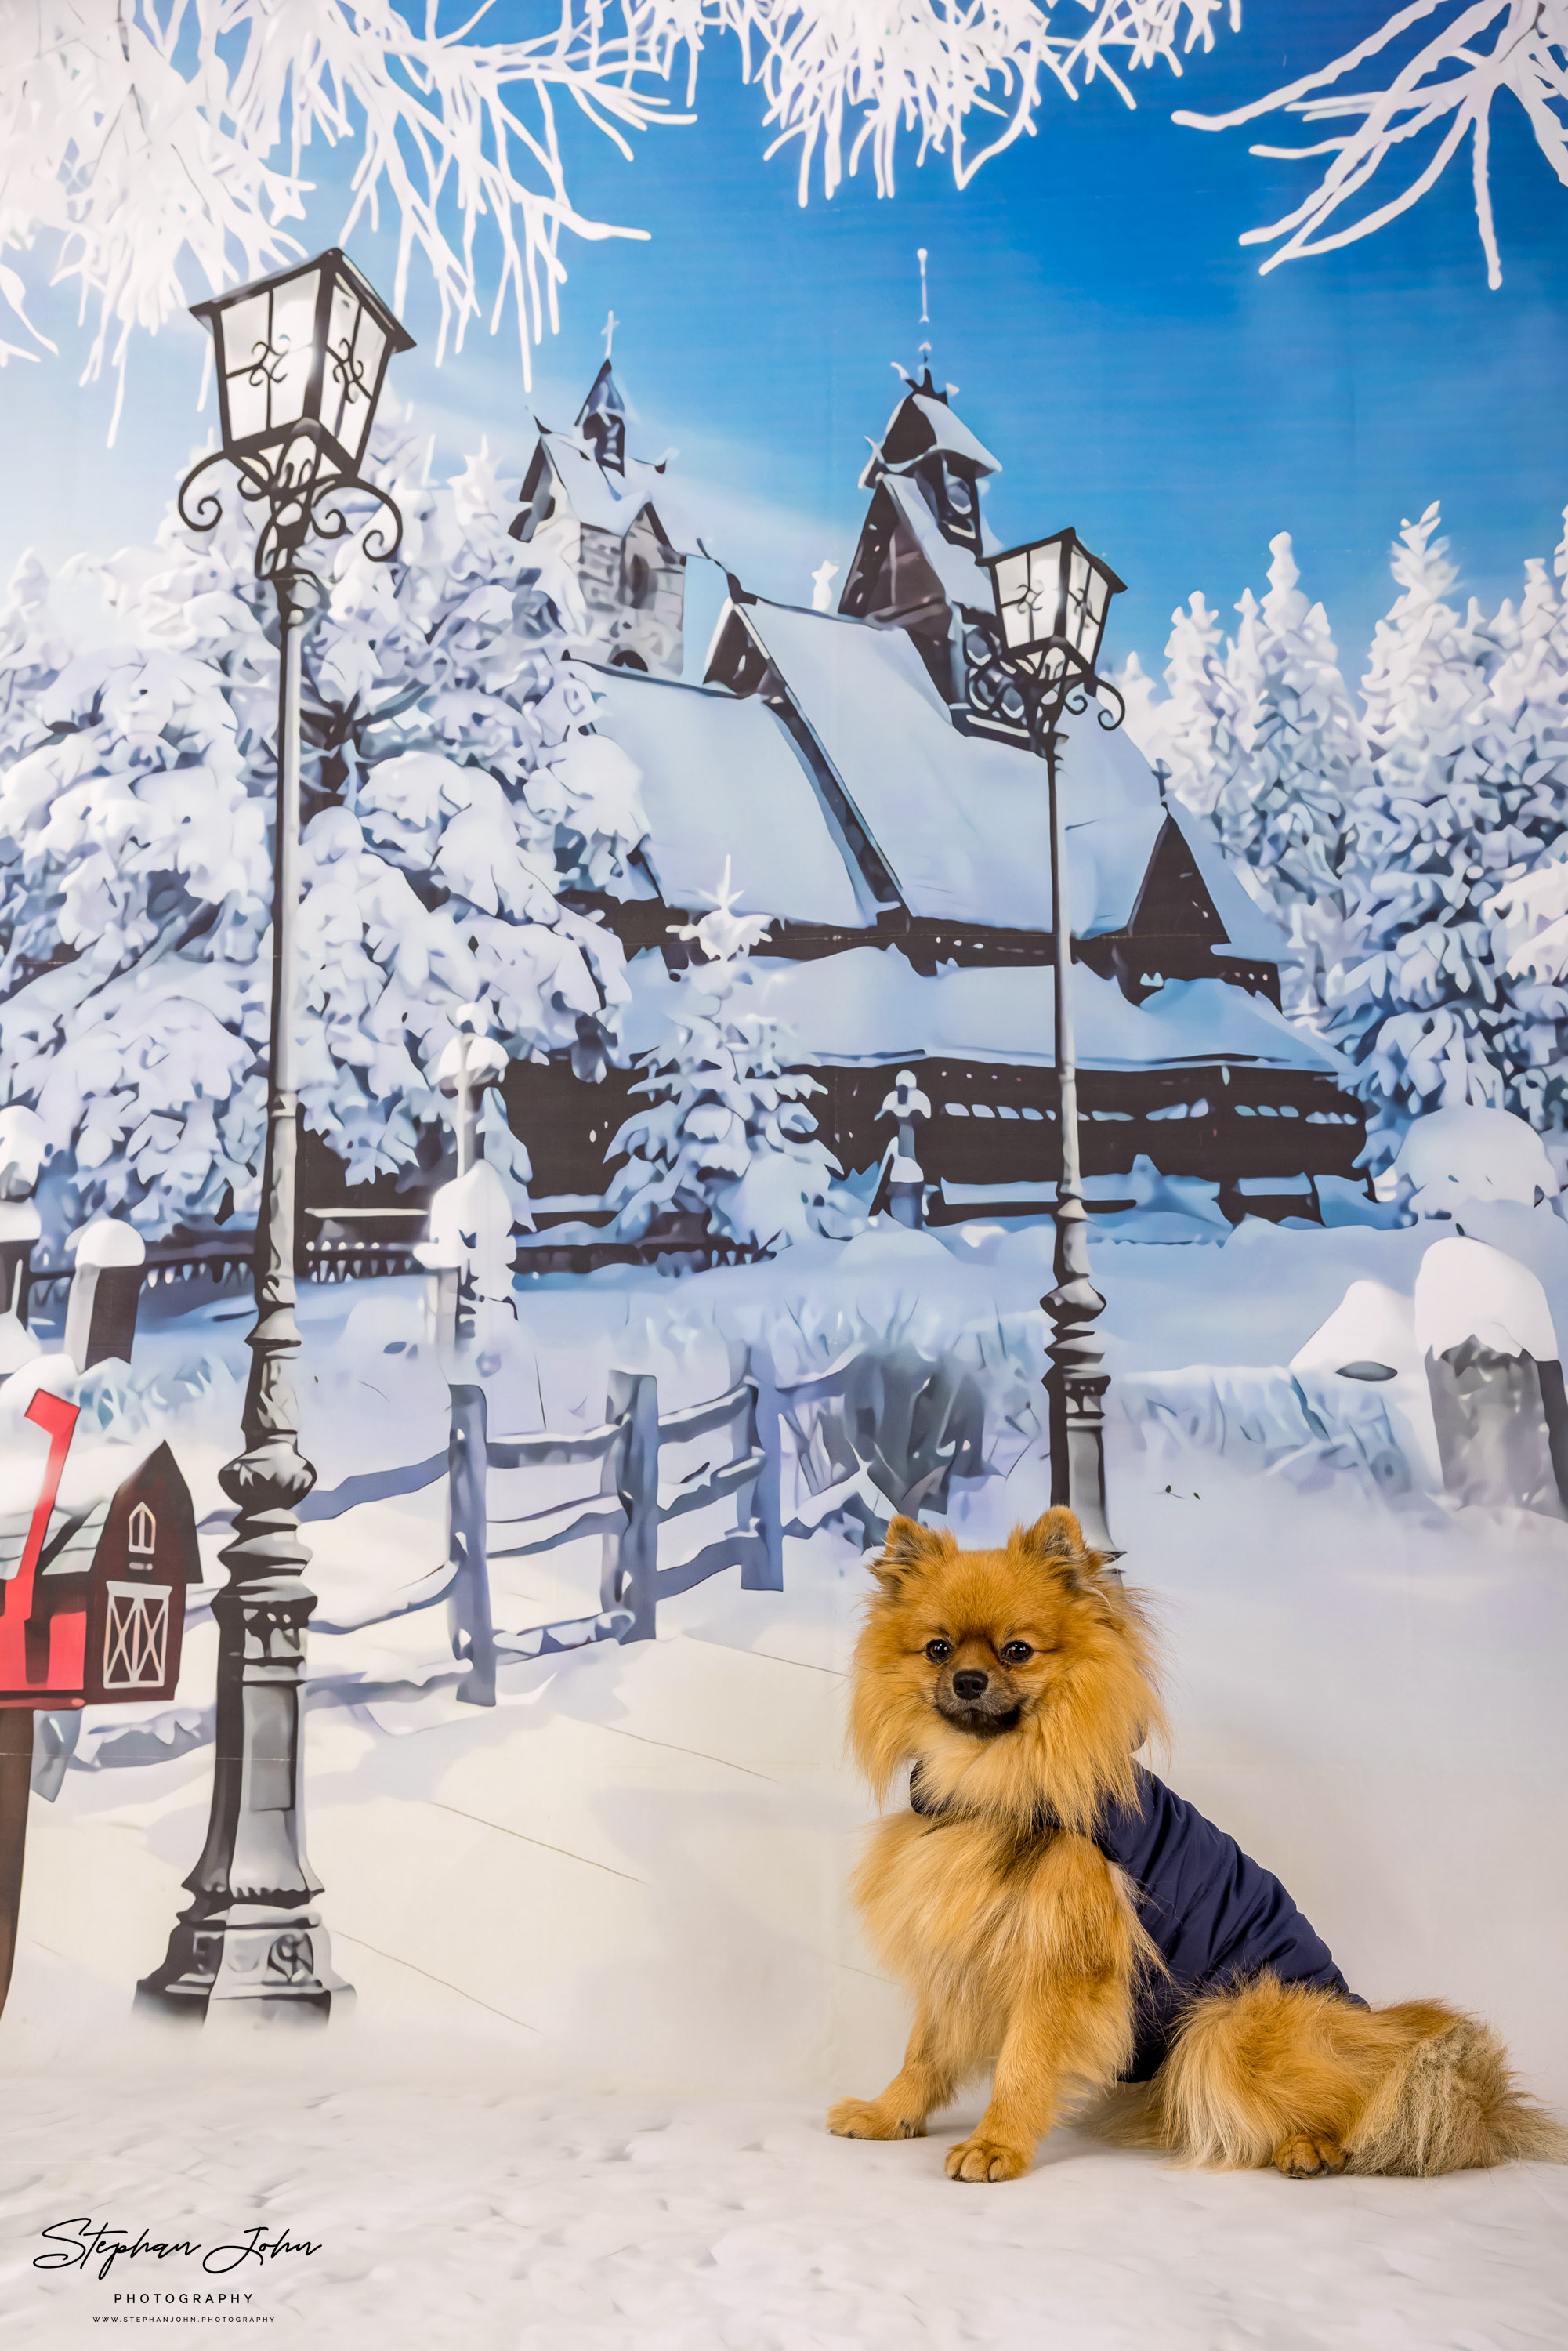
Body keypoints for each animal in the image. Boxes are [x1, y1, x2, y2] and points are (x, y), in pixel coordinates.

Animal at [827, 1514, 1561, 2172]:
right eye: (938, 1650)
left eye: (1017, 1651)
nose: (968, 1681)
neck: (991, 1786)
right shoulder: (959, 1948)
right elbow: (924, 2053)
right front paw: (889, 2114)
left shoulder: (1063, 1967)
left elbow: (1023, 2066)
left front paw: (995, 2145)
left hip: (1230, 2022)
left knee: (1369, 2105)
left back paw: (1315, 2147)